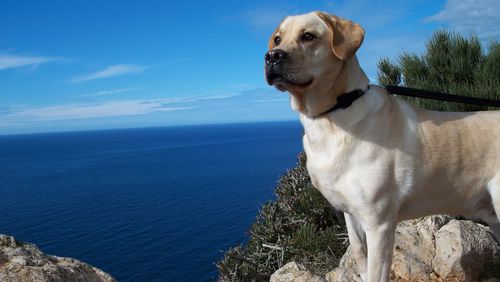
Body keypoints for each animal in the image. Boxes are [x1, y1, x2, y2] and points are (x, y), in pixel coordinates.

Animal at [264, 11, 498, 282]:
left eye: (308, 36)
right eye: (277, 39)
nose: (272, 56)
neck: (336, 112)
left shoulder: (379, 224)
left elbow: (376, 272)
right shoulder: (352, 215)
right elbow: (359, 254)